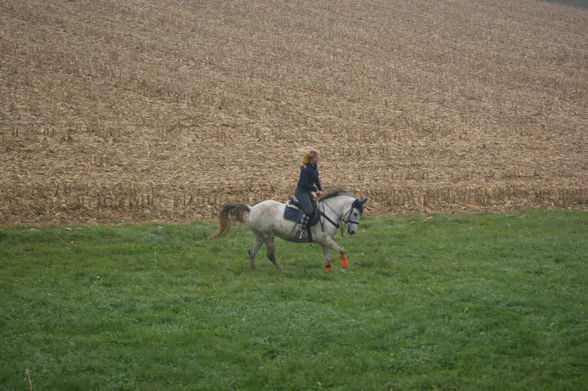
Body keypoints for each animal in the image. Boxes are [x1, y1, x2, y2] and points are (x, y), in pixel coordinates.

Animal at [211, 191, 368, 272]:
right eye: (355, 213)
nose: (352, 231)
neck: (328, 213)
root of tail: (252, 208)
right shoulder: (324, 239)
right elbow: (341, 250)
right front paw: (343, 269)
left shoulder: (324, 241)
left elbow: (328, 258)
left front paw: (329, 271)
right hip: (268, 236)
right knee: (270, 254)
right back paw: (283, 271)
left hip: (259, 236)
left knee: (252, 251)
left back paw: (253, 269)